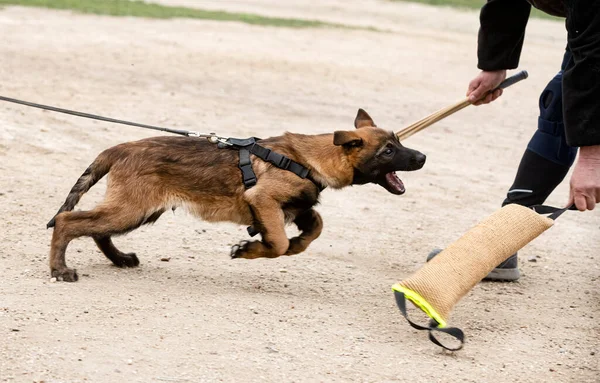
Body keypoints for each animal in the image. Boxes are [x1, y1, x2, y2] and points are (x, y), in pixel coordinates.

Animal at [47, 109, 424, 280]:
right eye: (389, 150)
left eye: (398, 142)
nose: (422, 157)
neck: (309, 158)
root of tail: (120, 147)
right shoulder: (264, 201)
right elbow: (279, 243)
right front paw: (249, 250)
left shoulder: (295, 206)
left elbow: (313, 227)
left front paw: (288, 244)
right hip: (132, 208)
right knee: (68, 221)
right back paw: (59, 269)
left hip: (138, 210)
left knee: (97, 231)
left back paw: (120, 258)